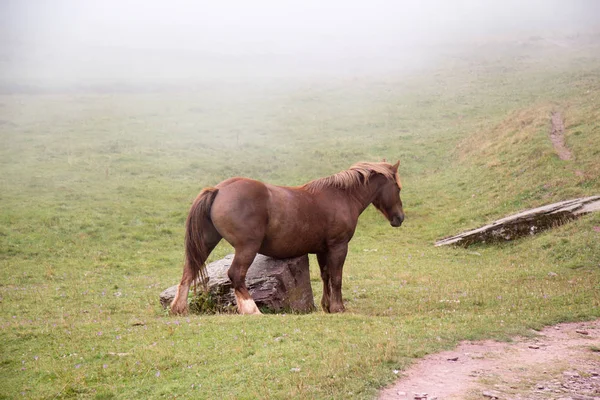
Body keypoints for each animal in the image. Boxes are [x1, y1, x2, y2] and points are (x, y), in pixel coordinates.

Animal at [170, 161, 404, 314]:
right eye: (398, 188)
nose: (400, 218)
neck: (341, 196)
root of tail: (218, 189)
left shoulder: (322, 250)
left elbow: (326, 276)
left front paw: (327, 306)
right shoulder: (338, 246)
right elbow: (337, 277)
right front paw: (338, 307)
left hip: (206, 242)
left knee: (189, 271)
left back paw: (178, 308)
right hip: (247, 247)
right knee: (236, 275)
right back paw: (252, 310)